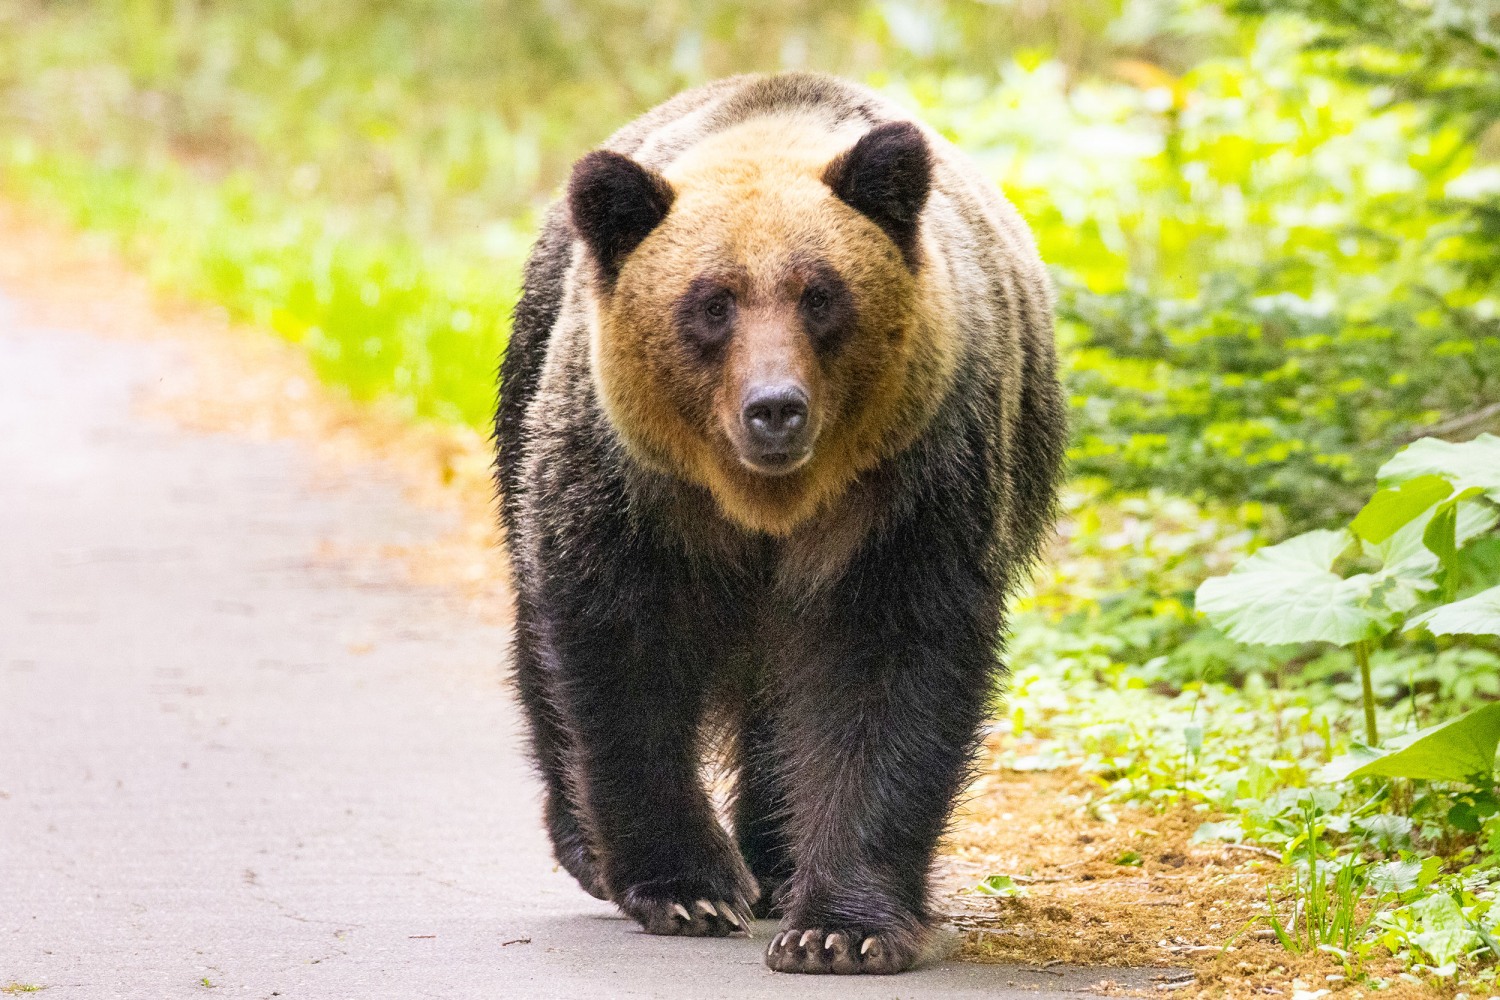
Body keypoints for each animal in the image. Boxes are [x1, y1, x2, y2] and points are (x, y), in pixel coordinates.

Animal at [496, 72, 1065, 975]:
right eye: (712, 302)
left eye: (821, 295)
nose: (775, 408)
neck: (766, 502)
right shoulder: (631, 489)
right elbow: (622, 655)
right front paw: (687, 888)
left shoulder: (907, 492)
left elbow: (887, 672)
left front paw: (840, 927)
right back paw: (591, 845)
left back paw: (774, 857)